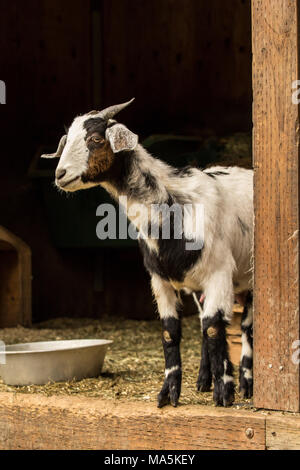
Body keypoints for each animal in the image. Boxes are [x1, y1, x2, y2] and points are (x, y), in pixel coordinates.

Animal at [41, 99, 253, 408]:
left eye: (96, 139)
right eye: (66, 140)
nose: (60, 175)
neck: (173, 204)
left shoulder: (219, 274)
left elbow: (215, 329)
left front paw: (224, 393)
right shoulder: (160, 281)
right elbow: (170, 332)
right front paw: (169, 393)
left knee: (245, 326)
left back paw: (246, 384)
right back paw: (205, 380)